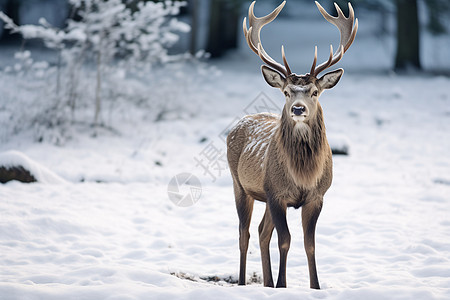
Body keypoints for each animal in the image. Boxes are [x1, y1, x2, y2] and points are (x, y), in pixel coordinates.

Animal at [227, 1, 356, 290]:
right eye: (286, 92)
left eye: (315, 92)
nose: (298, 108)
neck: (303, 175)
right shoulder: (276, 193)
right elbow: (284, 240)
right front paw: (282, 285)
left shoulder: (317, 196)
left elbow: (310, 244)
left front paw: (314, 286)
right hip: (240, 185)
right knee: (244, 233)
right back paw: (242, 282)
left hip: (262, 194)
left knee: (261, 231)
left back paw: (265, 283)